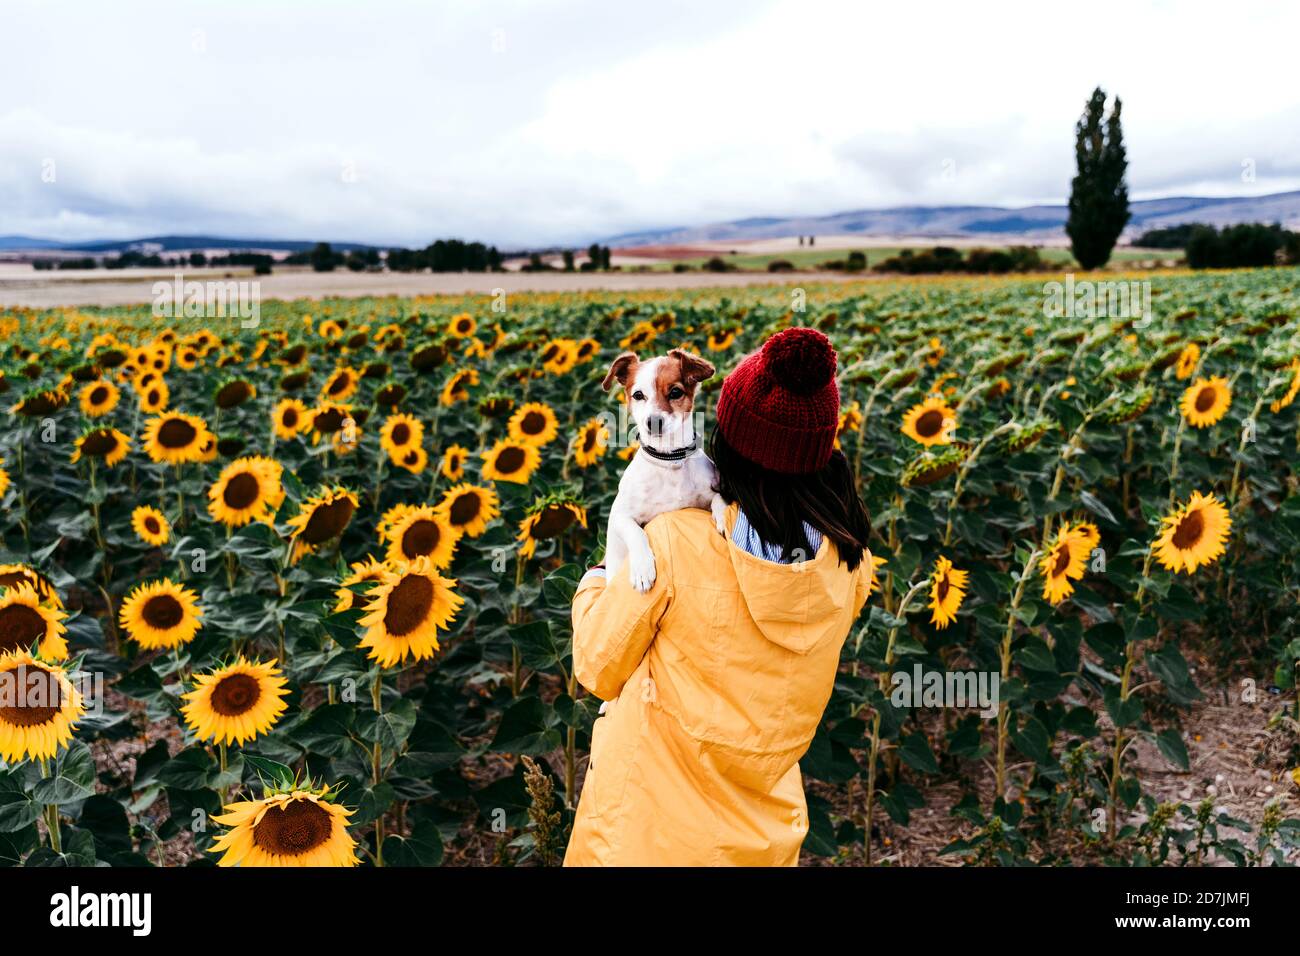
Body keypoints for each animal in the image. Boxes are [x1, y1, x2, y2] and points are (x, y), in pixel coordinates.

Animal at [600, 348, 728, 595]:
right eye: (638, 395)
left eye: (676, 392)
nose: (654, 421)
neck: (670, 459)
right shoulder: (619, 516)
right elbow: (636, 532)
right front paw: (642, 568)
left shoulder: (708, 491)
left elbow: (718, 498)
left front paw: (724, 516)